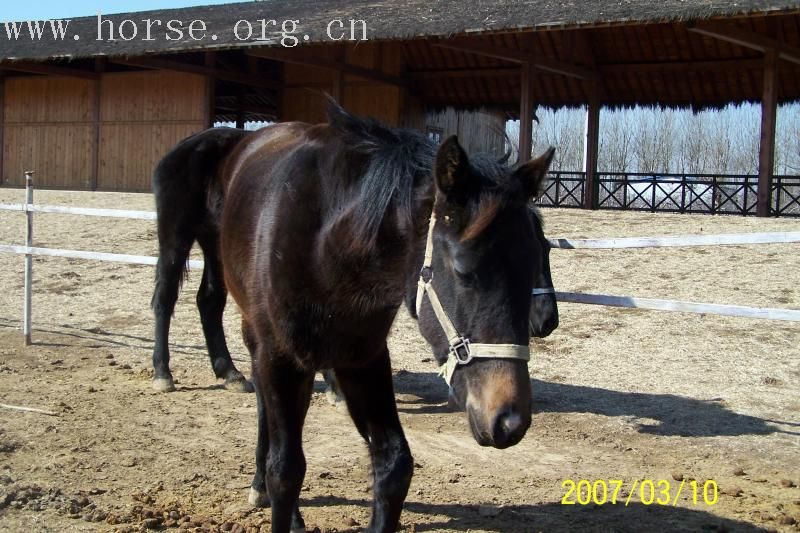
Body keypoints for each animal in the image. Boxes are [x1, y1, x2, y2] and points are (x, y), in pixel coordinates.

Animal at [219, 105, 556, 532]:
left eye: (534, 264)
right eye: (463, 269)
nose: (509, 421)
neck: (327, 242)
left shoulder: (363, 358)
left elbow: (394, 464)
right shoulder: (280, 357)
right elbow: (286, 471)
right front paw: (275, 493)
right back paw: (263, 487)